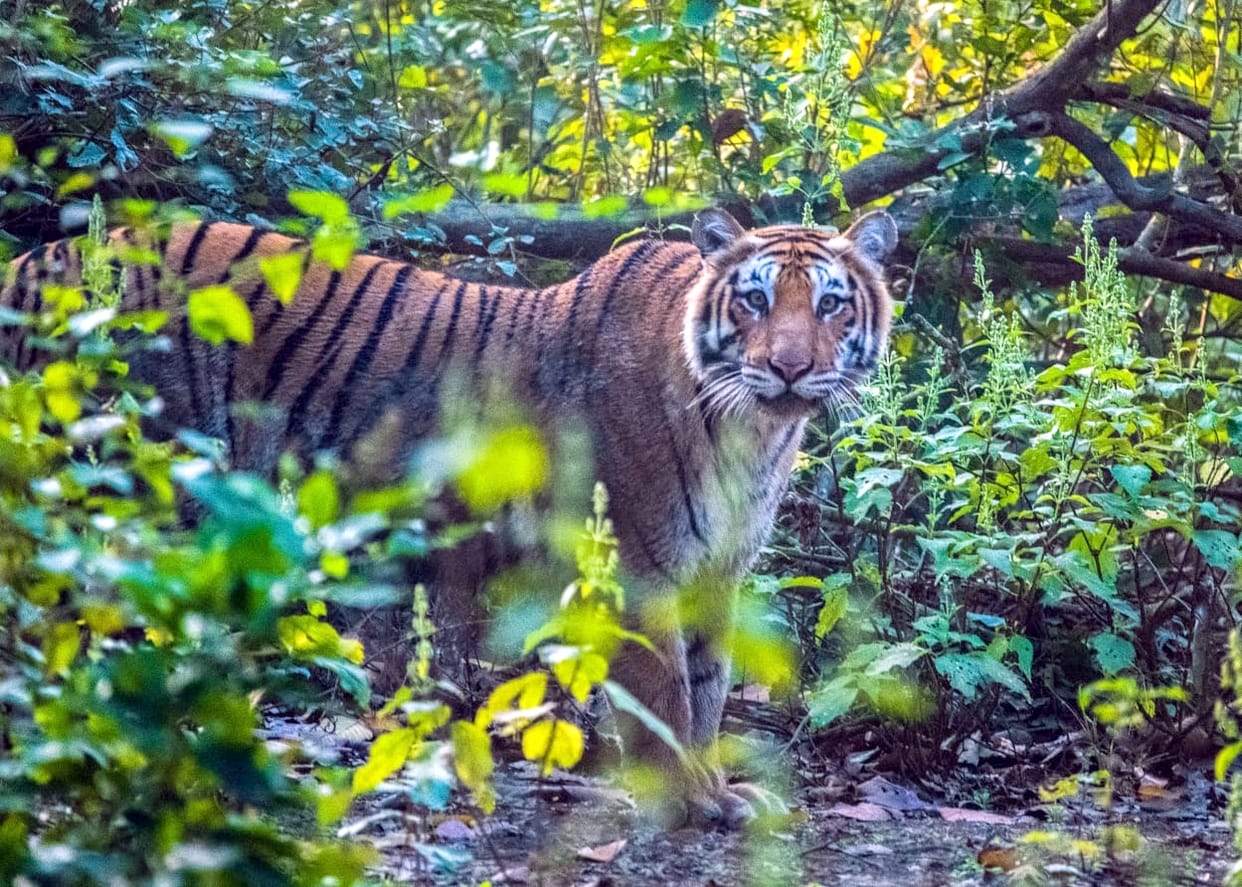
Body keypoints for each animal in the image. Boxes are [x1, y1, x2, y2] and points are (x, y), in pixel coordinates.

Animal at [2, 206, 897, 828]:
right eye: (753, 301)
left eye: (831, 304)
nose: (790, 367)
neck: (755, 432)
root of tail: (35, 259)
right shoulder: (638, 566)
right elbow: (667, 699)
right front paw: (685, 800)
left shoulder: (715, 571)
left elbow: (708, 692)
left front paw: (716, 788)